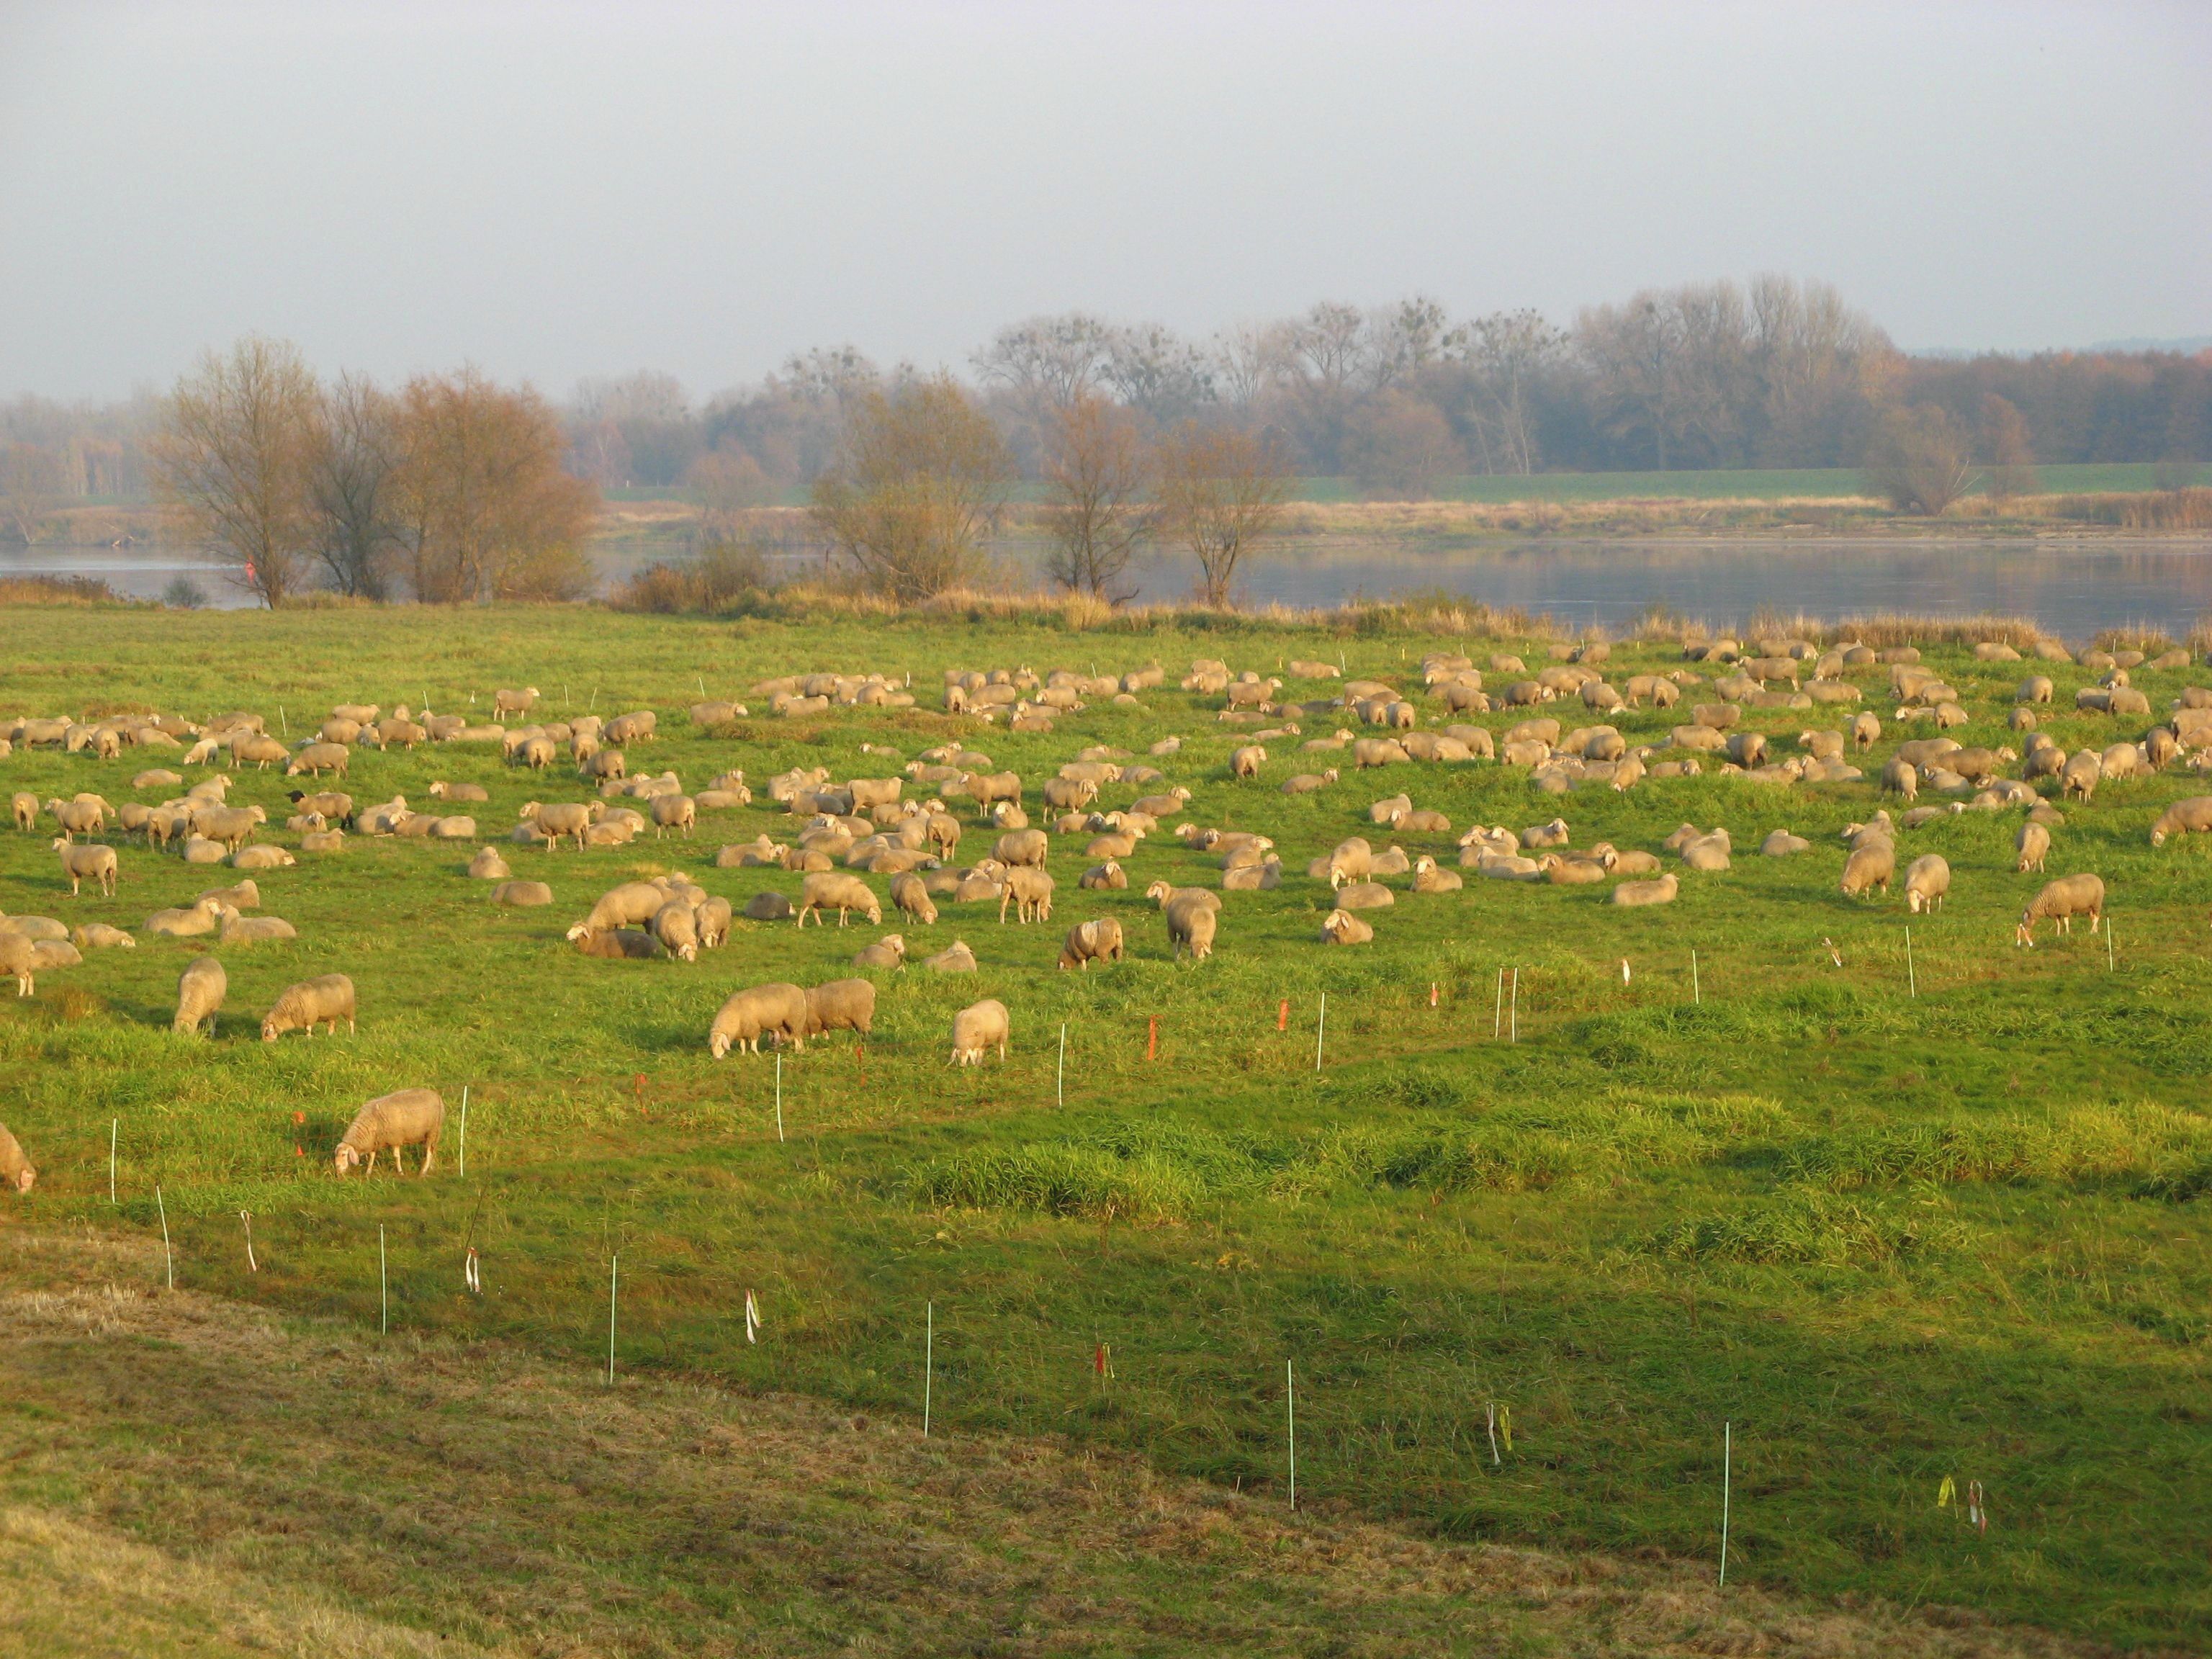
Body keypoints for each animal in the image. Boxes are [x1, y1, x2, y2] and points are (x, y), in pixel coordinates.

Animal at [334, 1088, 445, 1176]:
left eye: (343, 1155)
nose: (338, 1171)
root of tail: (436, 1095)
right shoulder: (375, 1141)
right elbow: (372, 1157)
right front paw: (368, 1172)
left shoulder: (395, 1139)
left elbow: (396, 1156)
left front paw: (400, 1172)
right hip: (429, 1134)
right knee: (432, 1149)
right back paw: (431, 1167)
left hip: (433, 1131)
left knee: (429, 1152)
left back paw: (423, 1172)